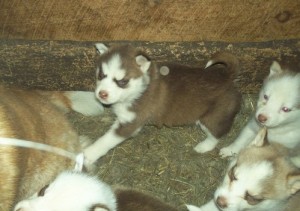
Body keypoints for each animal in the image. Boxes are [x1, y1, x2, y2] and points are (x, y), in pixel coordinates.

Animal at [82, 43, 241, 163]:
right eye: (101, 75)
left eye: (122, 81)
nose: (101, 94)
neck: (139, 90)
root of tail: (226, 76)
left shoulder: (131, 123)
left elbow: (105, 140)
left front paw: (87, 154)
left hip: (213, 117)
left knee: (216, 135)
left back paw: (203, 146)